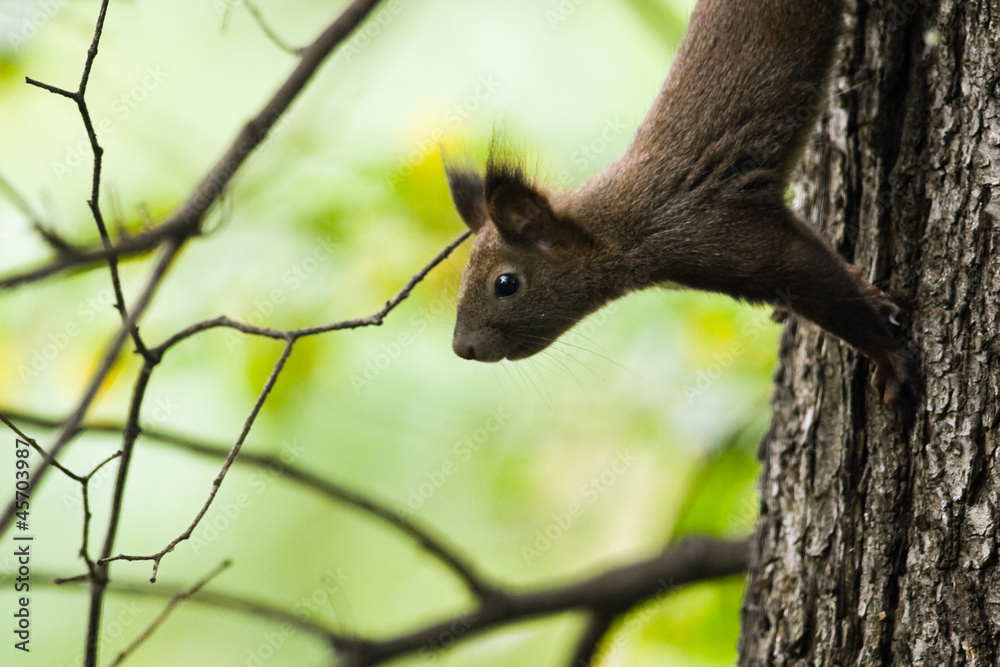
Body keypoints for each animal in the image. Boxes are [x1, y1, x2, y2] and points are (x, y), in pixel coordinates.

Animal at [444, 0, 916, 420]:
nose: (462, 349)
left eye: (506, 284)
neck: (622, 227)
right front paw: (871, 290)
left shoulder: (713, 231)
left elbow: (819, 280)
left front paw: (889, 358)